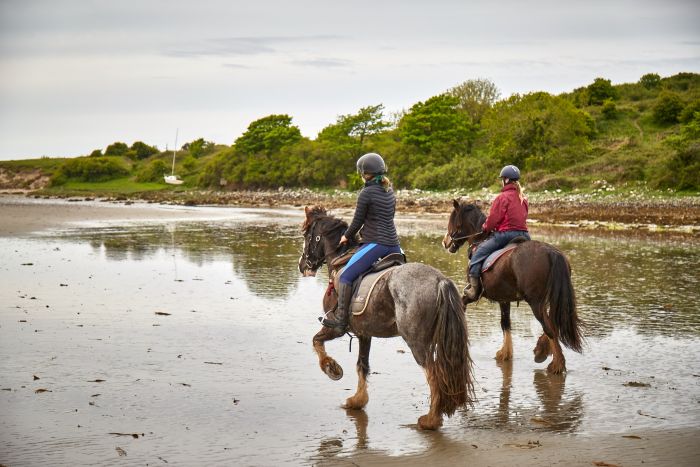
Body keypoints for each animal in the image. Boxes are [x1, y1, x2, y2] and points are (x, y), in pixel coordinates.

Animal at [298, 207, 474, 432]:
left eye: (306, 235)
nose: (302, 265)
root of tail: (439, 280)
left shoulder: (335, 327)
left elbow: (316, 341)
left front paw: (332, 368)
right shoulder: (364, 333)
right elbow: (362, 365)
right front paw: (358, 400)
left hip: (417, 343)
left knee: (434, 374)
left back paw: (431, 420)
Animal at [442, 199, 584, 374]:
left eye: (452, 221)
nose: (445, 242)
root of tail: (552, 253)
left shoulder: (475, 294)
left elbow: (463, 303)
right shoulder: (504, 299)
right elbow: (506, 323)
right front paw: (505, 353)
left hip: (536, 303)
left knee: (549, 327)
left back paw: (556, 364)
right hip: (551, 299)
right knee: (553, 323)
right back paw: (542, 351)